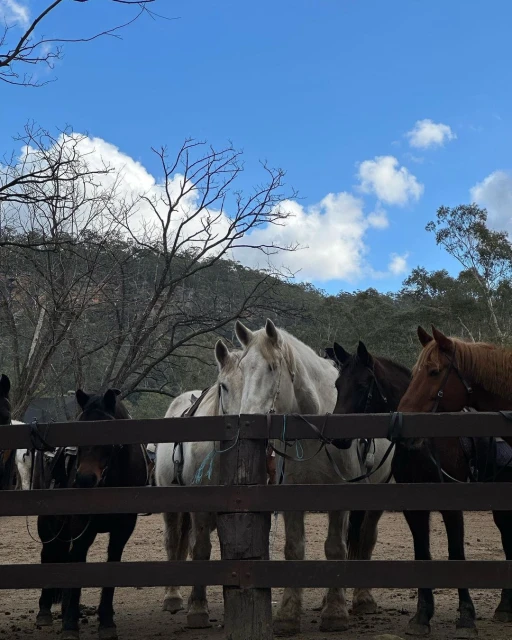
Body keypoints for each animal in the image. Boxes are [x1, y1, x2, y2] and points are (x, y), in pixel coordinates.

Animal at [35, 388, 148, 640]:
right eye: (80, 427)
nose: (84, 479)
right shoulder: (81, 529)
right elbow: (77, 565)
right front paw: (70, 625)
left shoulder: (122, 531)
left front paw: (106, 621)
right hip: (49, 527)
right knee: (49, 555)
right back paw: (45, 612)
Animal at [155, 339, 245, 629]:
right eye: (224, 386)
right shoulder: (201, 509)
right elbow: (201, 550)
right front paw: (197, 609)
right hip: (173, 508)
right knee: (174, 541)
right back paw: (172, 597)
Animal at [234, 319, 394, 636]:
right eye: (243, 368)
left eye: (272, 367)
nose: (248, 418)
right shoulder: (291, 499)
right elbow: (294, 549)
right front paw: (287, 615)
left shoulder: (339, 500)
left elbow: (335, 548)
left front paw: (335, 613)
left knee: (365, 539)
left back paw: (362, 599)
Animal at [396, 325, 512, 636]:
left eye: (434, 371)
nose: (403, 431)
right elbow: (422, 553)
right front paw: (421, 617)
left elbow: (456, 553)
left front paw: (466, 617)